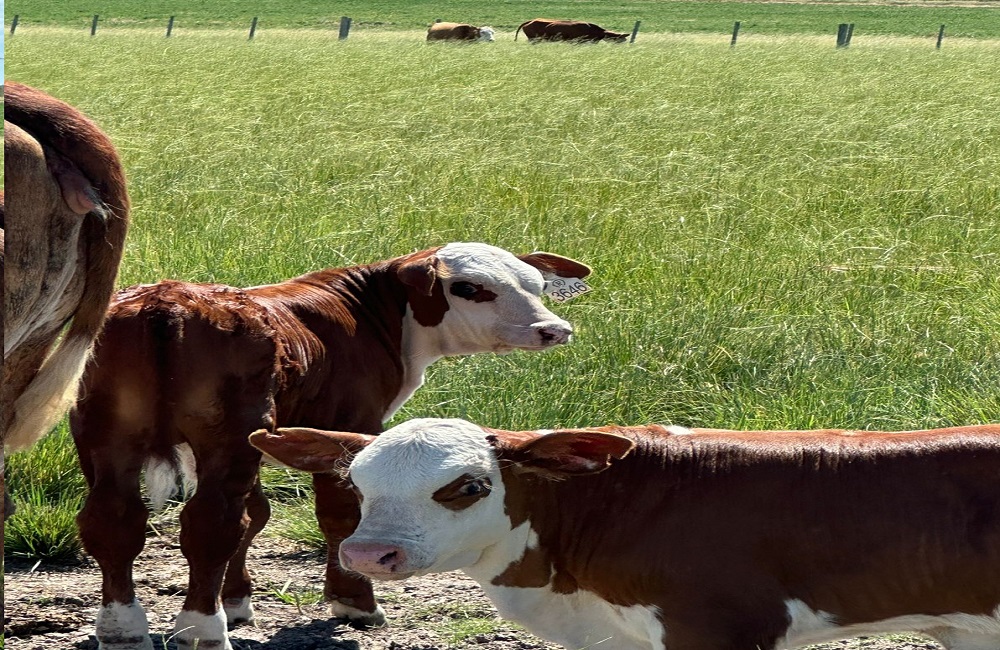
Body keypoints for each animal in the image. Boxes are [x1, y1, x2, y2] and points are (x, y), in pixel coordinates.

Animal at [70, 244, 592, 648]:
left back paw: (121, 629)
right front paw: (353, 603)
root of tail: (167, 300)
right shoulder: (346, 425)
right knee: (210, 523)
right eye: (469, 288)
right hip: (225, 435)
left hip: (105, 432)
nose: (554, 330)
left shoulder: (267, 438)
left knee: (114, 519)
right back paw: (202, 630)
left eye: (535, 284)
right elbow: (338, 517)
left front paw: (237, 601)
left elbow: (255, 515)